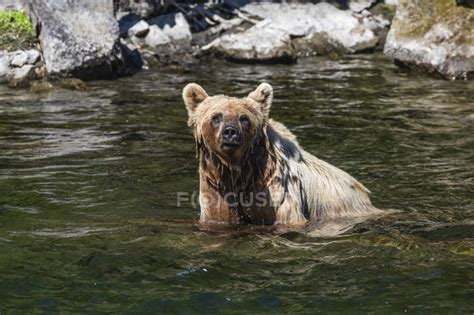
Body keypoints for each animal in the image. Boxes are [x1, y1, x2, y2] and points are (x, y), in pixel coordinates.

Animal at [181, 82, 382, 231]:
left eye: (244, 118)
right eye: (216, 116)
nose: (230, 132)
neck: (240, 171)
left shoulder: (275, 188)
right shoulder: (215, 187)